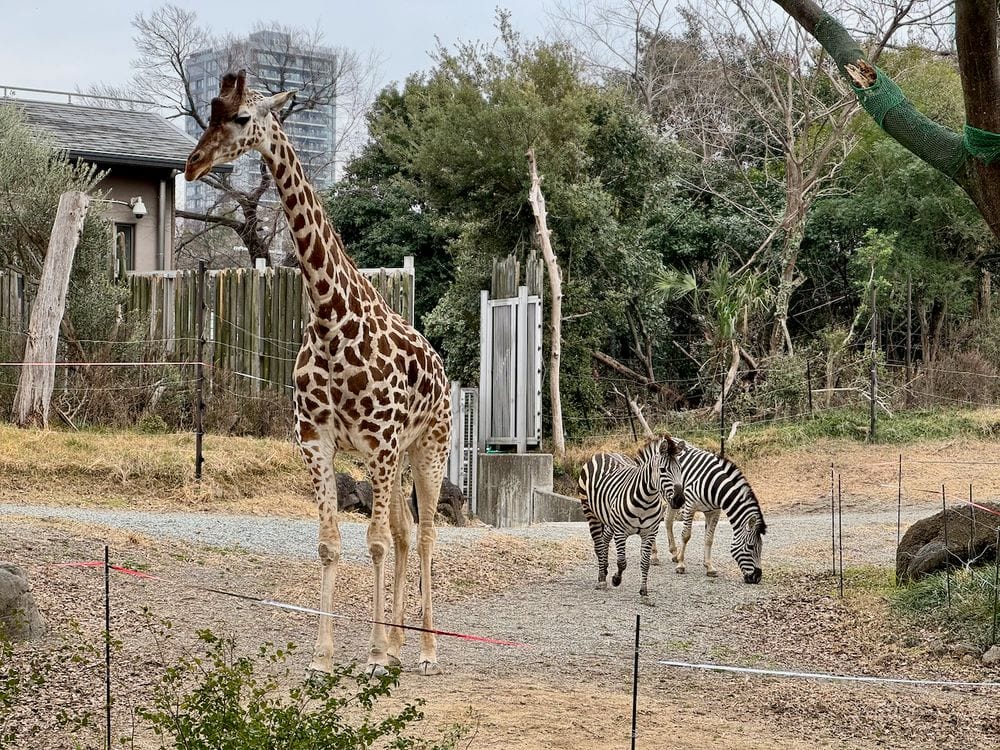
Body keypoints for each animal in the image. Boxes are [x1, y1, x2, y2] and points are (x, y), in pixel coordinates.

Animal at [184, 71, 452, 676]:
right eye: (209, 114)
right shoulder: (317, 439)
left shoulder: (379, 442)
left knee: (424, 535)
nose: (192, 164)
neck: (331, 316)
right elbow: (331, 542)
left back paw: (424, 650)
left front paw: (372, 656)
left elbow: (373, 541)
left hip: (429, 447)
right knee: (405, 533)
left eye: (241, 117)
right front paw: (326, 657)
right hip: (398, 457)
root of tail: (445, 371)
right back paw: (400, 645)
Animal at [577, 436, 686, 605]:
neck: (646, 501)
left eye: (680, 469)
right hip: (590, 513)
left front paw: (644, 593)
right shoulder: (621, 532)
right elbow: (622, 562)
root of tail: (605, 452)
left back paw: (605, 569)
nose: (679, 500)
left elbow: (645, 564)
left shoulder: (649, 533)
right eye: (663, 470)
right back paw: (602, 579)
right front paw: (616, 579)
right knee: (599, 545)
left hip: (609, 519)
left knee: (604, 540)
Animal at [656, 440, 766, 584]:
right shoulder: (690, 506)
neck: (715, 486)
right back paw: (654, 556)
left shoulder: (714, 511)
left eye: (761, 547)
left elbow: (709, 539)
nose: (757, 578)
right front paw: (681, 565)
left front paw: (709, 566)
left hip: (673, 500)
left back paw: (675, 553)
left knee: (668, 520)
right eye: (751, 547)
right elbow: (686, 535)